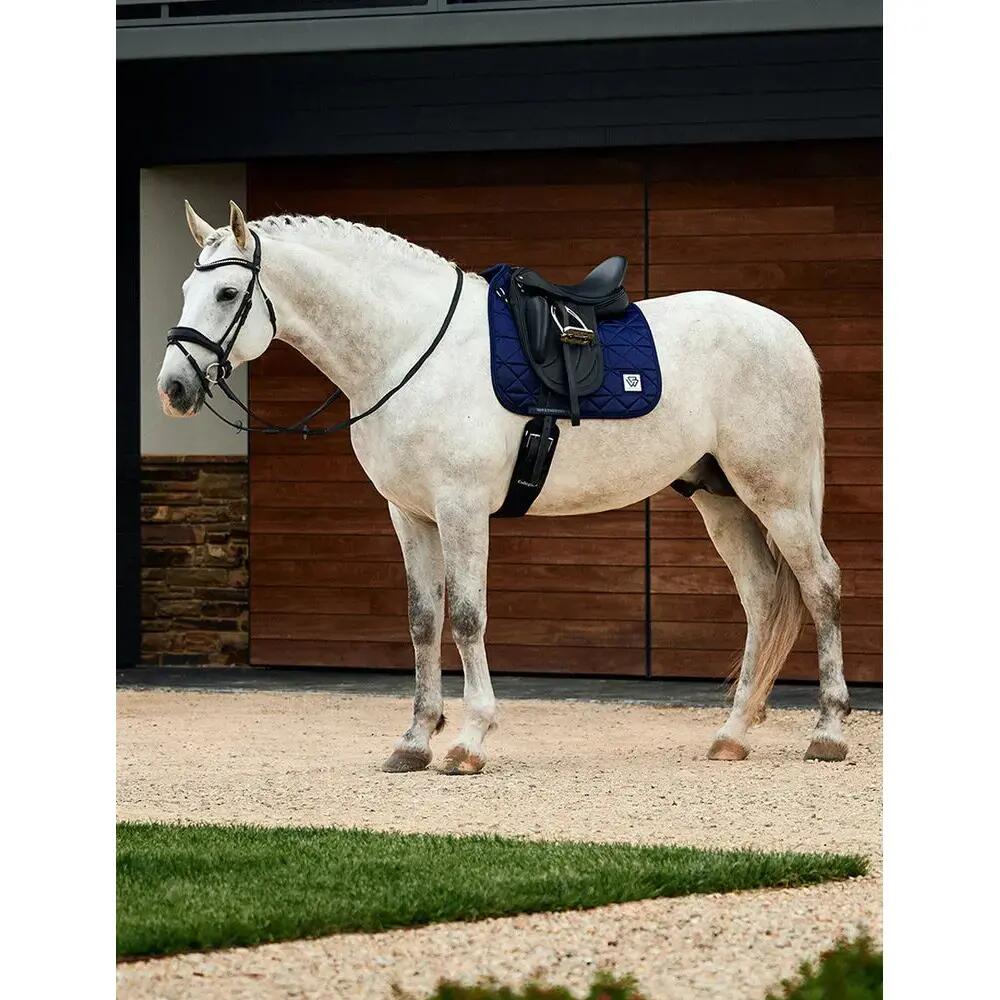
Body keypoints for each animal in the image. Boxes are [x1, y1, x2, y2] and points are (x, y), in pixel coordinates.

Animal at [156, 199, 850, 775]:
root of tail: (784, 333)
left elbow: (467, 617)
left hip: (779, 496)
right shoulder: (409, 514)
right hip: (721, 499)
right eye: (186, 288)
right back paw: (732, 735)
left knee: (820, 586)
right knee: (762, 597)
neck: (408, 348)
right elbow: (423, 620)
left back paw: (829, 731)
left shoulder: (461, 508)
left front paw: (468, 742)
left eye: (226, 291)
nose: (174, 388)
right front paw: (414, 742)